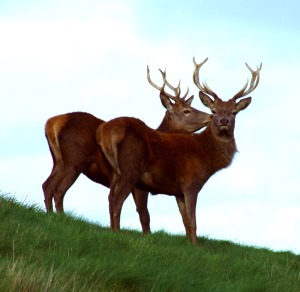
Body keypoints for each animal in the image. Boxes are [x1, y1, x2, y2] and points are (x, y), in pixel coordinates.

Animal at [42, 65, 211, 233]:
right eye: (186, 111)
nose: (210, 116)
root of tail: (52, 123)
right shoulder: (139, 184)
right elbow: (144, 215)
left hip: (58, 160)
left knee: (47, 185)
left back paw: (50, 217)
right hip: (75, 160)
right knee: (58, 190)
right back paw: (61, 220)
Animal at [97, 57, 262, 242]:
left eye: (234, 112)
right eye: (213, 110)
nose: (224, 121)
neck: (206, 157)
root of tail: (106, 131)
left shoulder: (178, 191)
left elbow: (185, 222)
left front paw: (190, 243)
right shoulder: (191, 183)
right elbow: (193, 221)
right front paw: (196, 245)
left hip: (114, 172)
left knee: (110, 198)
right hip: (130, 169)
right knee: (117, 201)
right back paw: (116, 234)